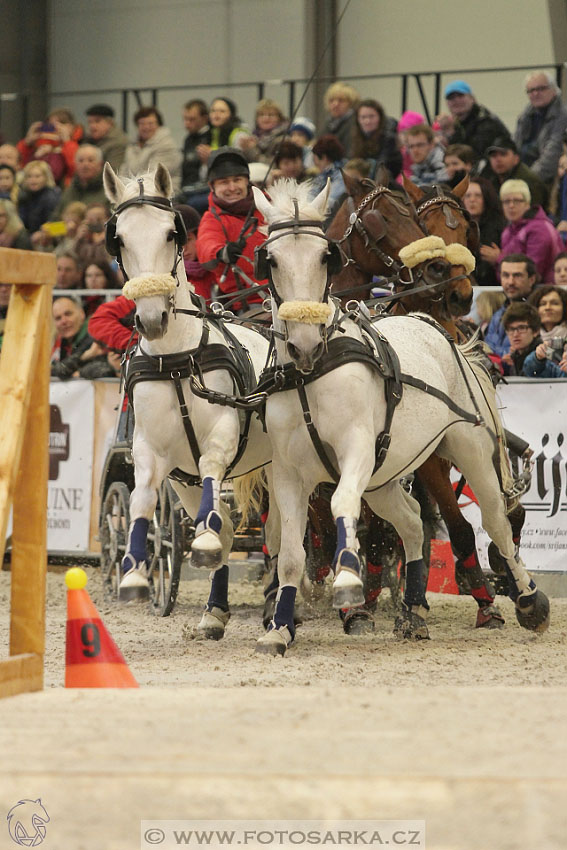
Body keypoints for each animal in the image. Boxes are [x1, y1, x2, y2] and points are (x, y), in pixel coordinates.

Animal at [103, 162, 280, 636]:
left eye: (171, 232)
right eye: (119, 238)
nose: (151, 319)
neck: (177, 360)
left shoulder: (219, 437)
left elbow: (212, 473)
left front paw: (201, 540)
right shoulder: (152, 452)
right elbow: (142, 499)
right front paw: (134, 572)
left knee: (275, 529)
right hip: (184, 483)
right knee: (228, 526)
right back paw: (214, 610)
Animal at [250, 179, 552, 656]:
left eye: (325, 256)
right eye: (271, 259)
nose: (303, 342)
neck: (312, 372)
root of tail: (434, 327)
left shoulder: (355, 454)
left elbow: (344, 508)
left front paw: (350, 586)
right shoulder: (287, 472)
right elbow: (293, 555)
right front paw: (279, 628)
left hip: (465, 453)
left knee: (496, 523)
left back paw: (527, 601)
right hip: (386, 475)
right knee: (410, 523)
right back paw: (411, 611)